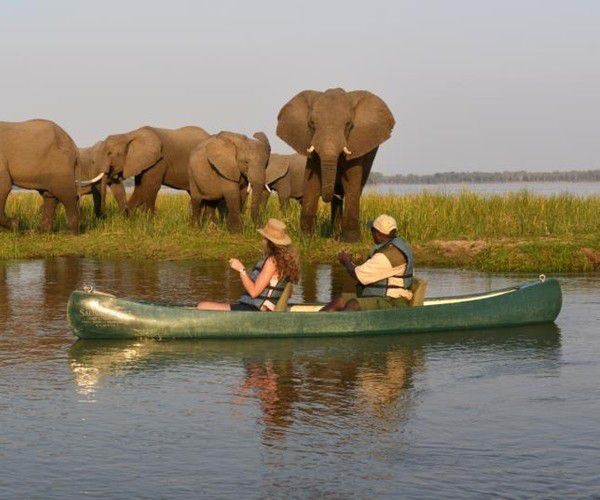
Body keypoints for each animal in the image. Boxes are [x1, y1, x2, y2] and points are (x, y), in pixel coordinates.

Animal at [278, 88, 396, 244]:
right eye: (312, 124)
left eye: (348, 124)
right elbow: (311, 182)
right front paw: (306, 239)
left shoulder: (356, 145)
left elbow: (351, 183)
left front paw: (352, 241)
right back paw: (334, 235)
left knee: (357, 189)